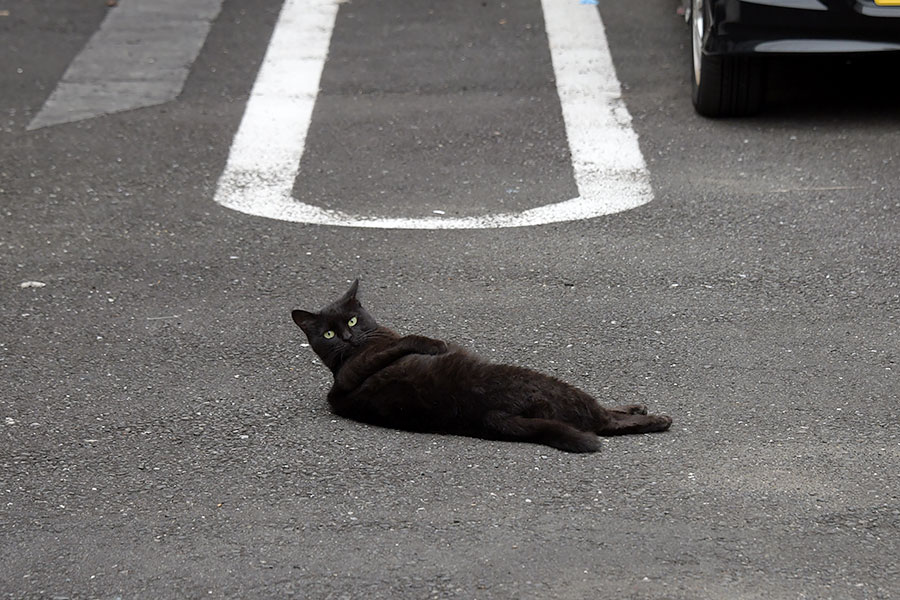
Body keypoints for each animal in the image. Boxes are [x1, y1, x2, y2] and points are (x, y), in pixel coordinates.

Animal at [292, 278, 672, 452]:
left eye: (353, 321)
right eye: (328, 333)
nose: (346, 338)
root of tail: (491, 414)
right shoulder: (351, 373)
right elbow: (406, 340)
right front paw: (435, 344)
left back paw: (637, 407)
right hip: (548, 384)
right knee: (603, 421)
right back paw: (657, 419)